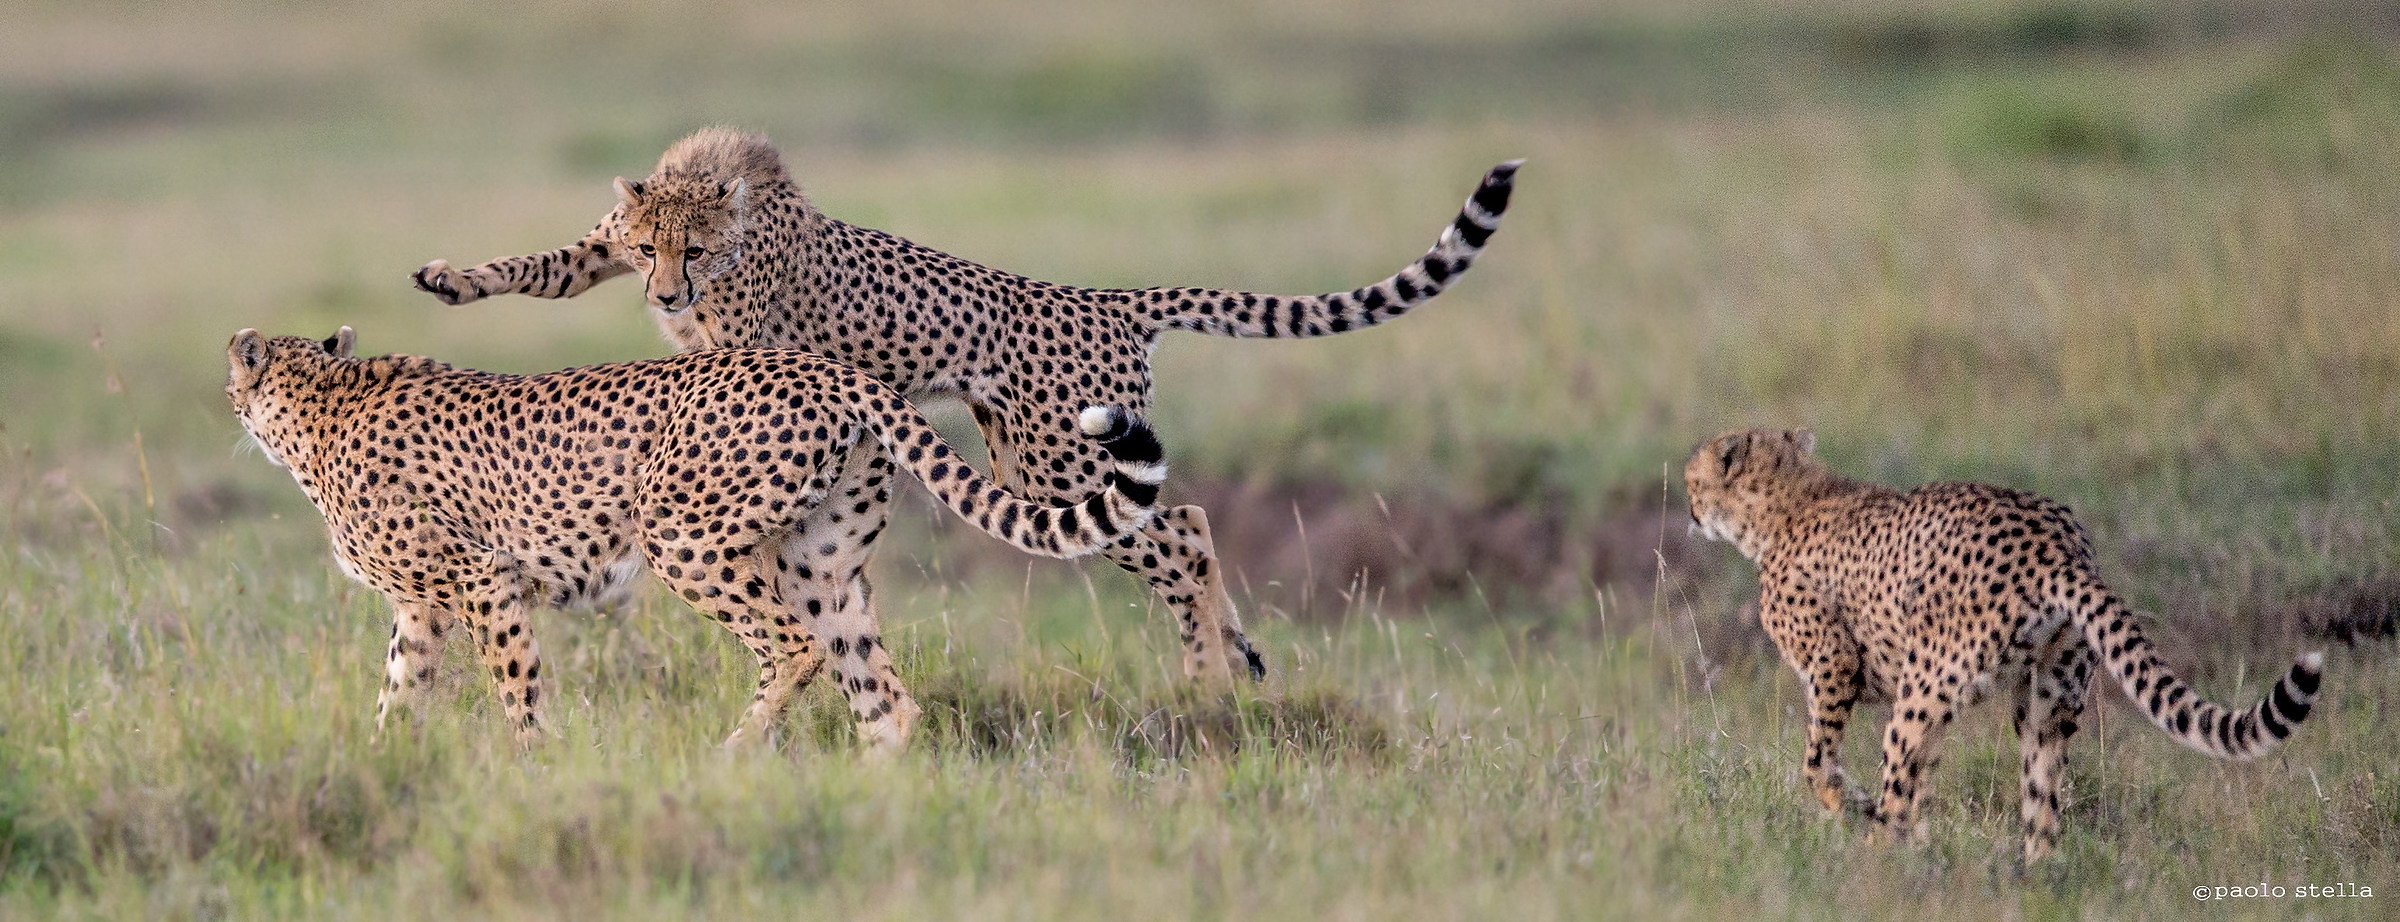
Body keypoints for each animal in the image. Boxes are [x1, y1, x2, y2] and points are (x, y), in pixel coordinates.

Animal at [227, 325, 1167, 751]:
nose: (231, 399)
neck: (324, 401)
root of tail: (822, 364)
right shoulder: (422, 609)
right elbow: (398, 694)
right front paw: (382, 761)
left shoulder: (483, 581)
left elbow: (516, 694)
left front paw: (533, 771)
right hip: (820, 564)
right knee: (885, 700)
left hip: (681, 535)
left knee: (793, 649)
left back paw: (734, 753)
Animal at [411, 127, 1521, 685]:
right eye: (651, 248)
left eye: (701, 250)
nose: (670, 293)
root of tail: (1105, 297)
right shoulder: (607, 250)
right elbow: (545, 264)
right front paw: (454, 278)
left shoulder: (747, 351)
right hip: (1036, 460)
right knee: (1184, 526)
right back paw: (1230, 653)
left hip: (1062, 460)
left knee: (1189, 527)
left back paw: (1210, 665)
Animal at [1684, 427, 2325, 862]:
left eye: (1692, 481)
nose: (1687, 509)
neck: (1786, 498)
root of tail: (2056, 541)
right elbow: (1918, 786)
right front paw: (1920, 847)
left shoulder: (1833, 666)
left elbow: (1819, 766)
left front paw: (1859, 812)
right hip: (2044, 698)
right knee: (2043, 803)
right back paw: (2035, 875)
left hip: (1923, 690)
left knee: (1899, 775)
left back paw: (1874, 866)